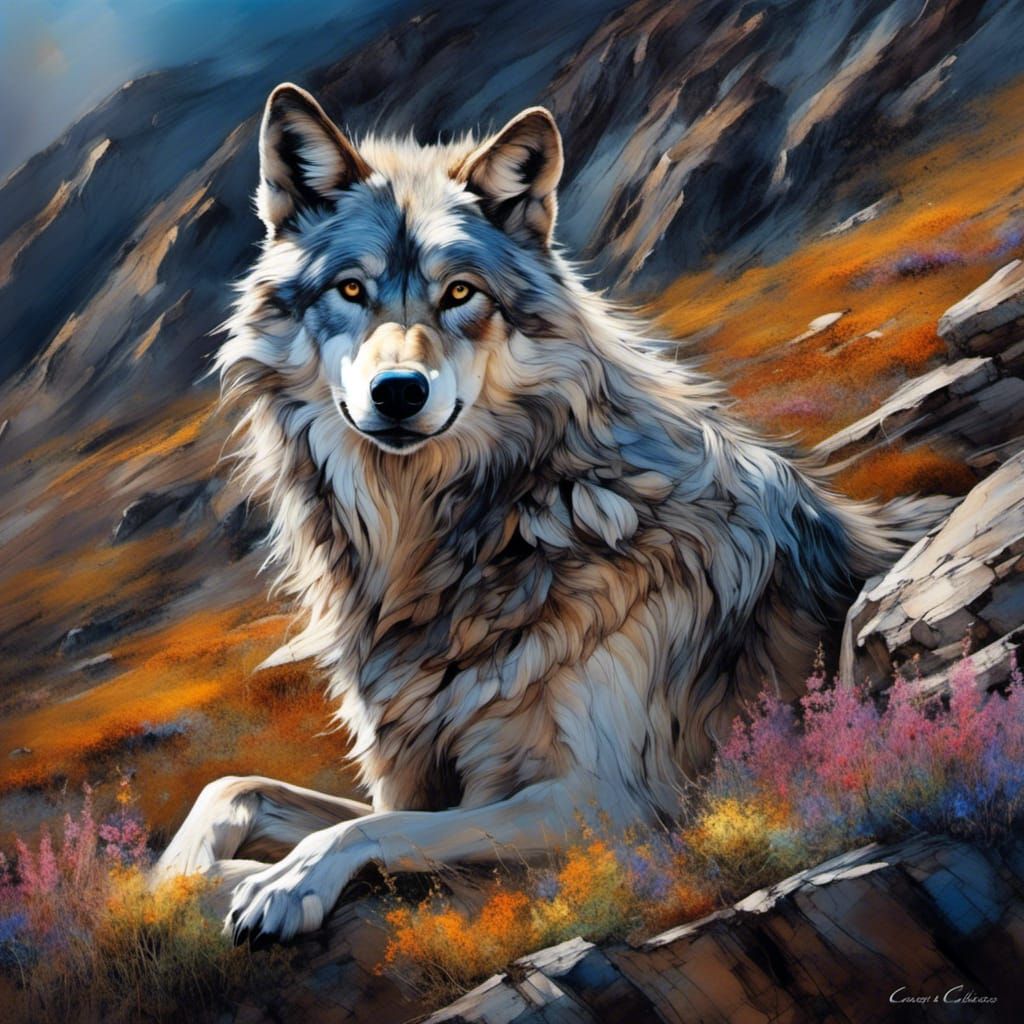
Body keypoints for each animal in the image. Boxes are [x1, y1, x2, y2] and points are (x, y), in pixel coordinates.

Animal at [155, 83, 951, 942]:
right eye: (352, 290)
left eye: (460, 293)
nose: (398, 392)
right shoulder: (413, 779)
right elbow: (236, 787)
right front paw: (178, 880)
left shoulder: (613, 800)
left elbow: (369, 829)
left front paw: (277, 883)